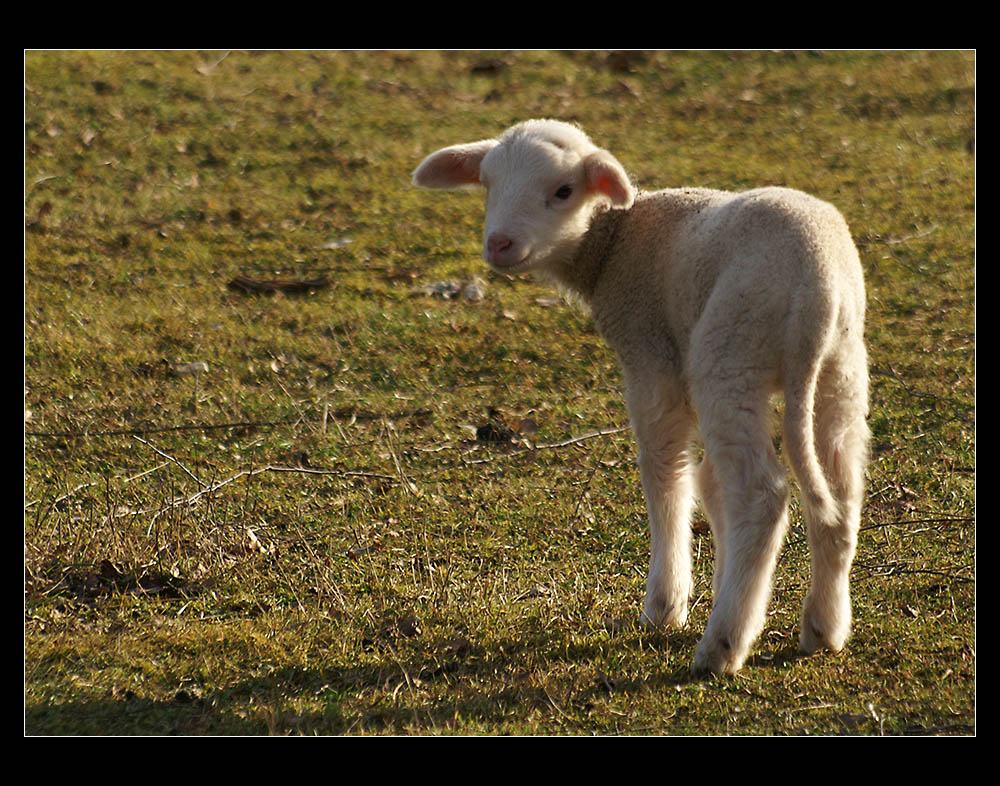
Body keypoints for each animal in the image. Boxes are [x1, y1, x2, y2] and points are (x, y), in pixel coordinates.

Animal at [412, 119, 868, 672]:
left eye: (563, 191)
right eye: (487, 184)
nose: (499, 244)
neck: (613, 243)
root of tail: (814, 297)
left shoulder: (652, 357)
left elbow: (666, 475)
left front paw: (666, 606)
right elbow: (709, 486)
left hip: (730, 353)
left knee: (761, 497)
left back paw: (722, 644)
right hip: (839, 370)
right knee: (841, 489)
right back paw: (824, 627)